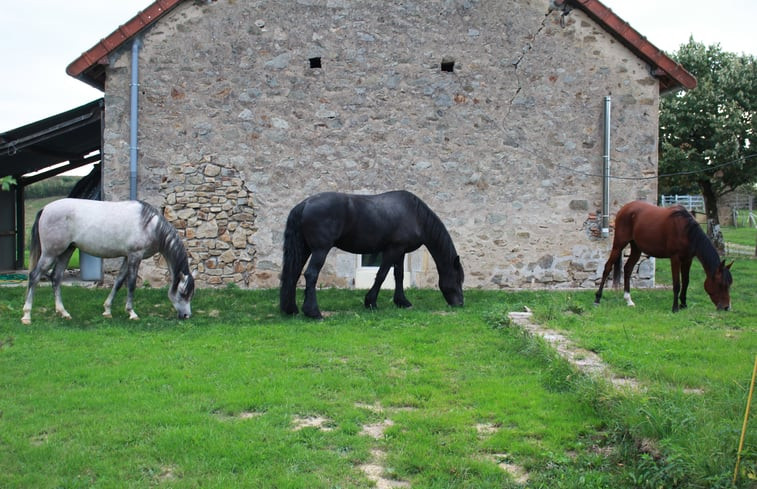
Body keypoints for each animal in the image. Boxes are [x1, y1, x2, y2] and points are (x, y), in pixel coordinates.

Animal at [21, 196, 195, 322]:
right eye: (183, 293)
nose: (187, 316)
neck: (150, 225)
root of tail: (46, 209)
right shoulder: (135, 256)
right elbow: (131, 284)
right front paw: (132, 313)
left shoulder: (127, 257)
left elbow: (118, 282)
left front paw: (107, 310)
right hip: (50, 253)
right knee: (34, 276)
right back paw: (27, 315)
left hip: (66, 251)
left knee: (56, 278)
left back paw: (63, 312)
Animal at [280, 189, 464, 318]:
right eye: (458, 279)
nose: (460, 304)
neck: (415, 215)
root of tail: (305, 204)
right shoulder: (393, 250)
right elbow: (382, 274)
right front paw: (370, 302)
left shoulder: (401, 251)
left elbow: (399, 275)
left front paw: (402, 302)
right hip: (320, 250)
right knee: (311, 274)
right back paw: (314, 313)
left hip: (304, 249)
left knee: (293, 274)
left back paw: (292, 309)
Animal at [592, 200, 728, 310]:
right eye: (720, 284)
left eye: (729, 284)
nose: (726, 307)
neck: (686, 230)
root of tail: (624, 208)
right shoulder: (675, 259)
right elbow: (677, 284)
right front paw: (675, 308)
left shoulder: (688, 259)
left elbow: (686, 281)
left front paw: (684, 305)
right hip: (619, 244)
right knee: (608, 267)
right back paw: (597, 299)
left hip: (636, 248)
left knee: (628, 269)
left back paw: (629, 300)